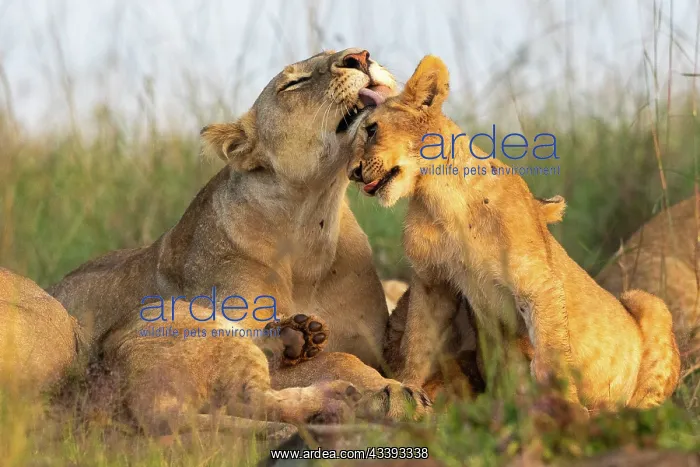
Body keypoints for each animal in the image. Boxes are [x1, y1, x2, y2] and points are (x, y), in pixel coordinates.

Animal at [347, 55, 680, 411]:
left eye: (372, 129)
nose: (353, 173)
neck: (442, 198)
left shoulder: (537, 282)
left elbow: (550, 355)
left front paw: (565, 410)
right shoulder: (433, 283)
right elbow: (418, 343)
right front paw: (408, 388)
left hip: (648, 303)